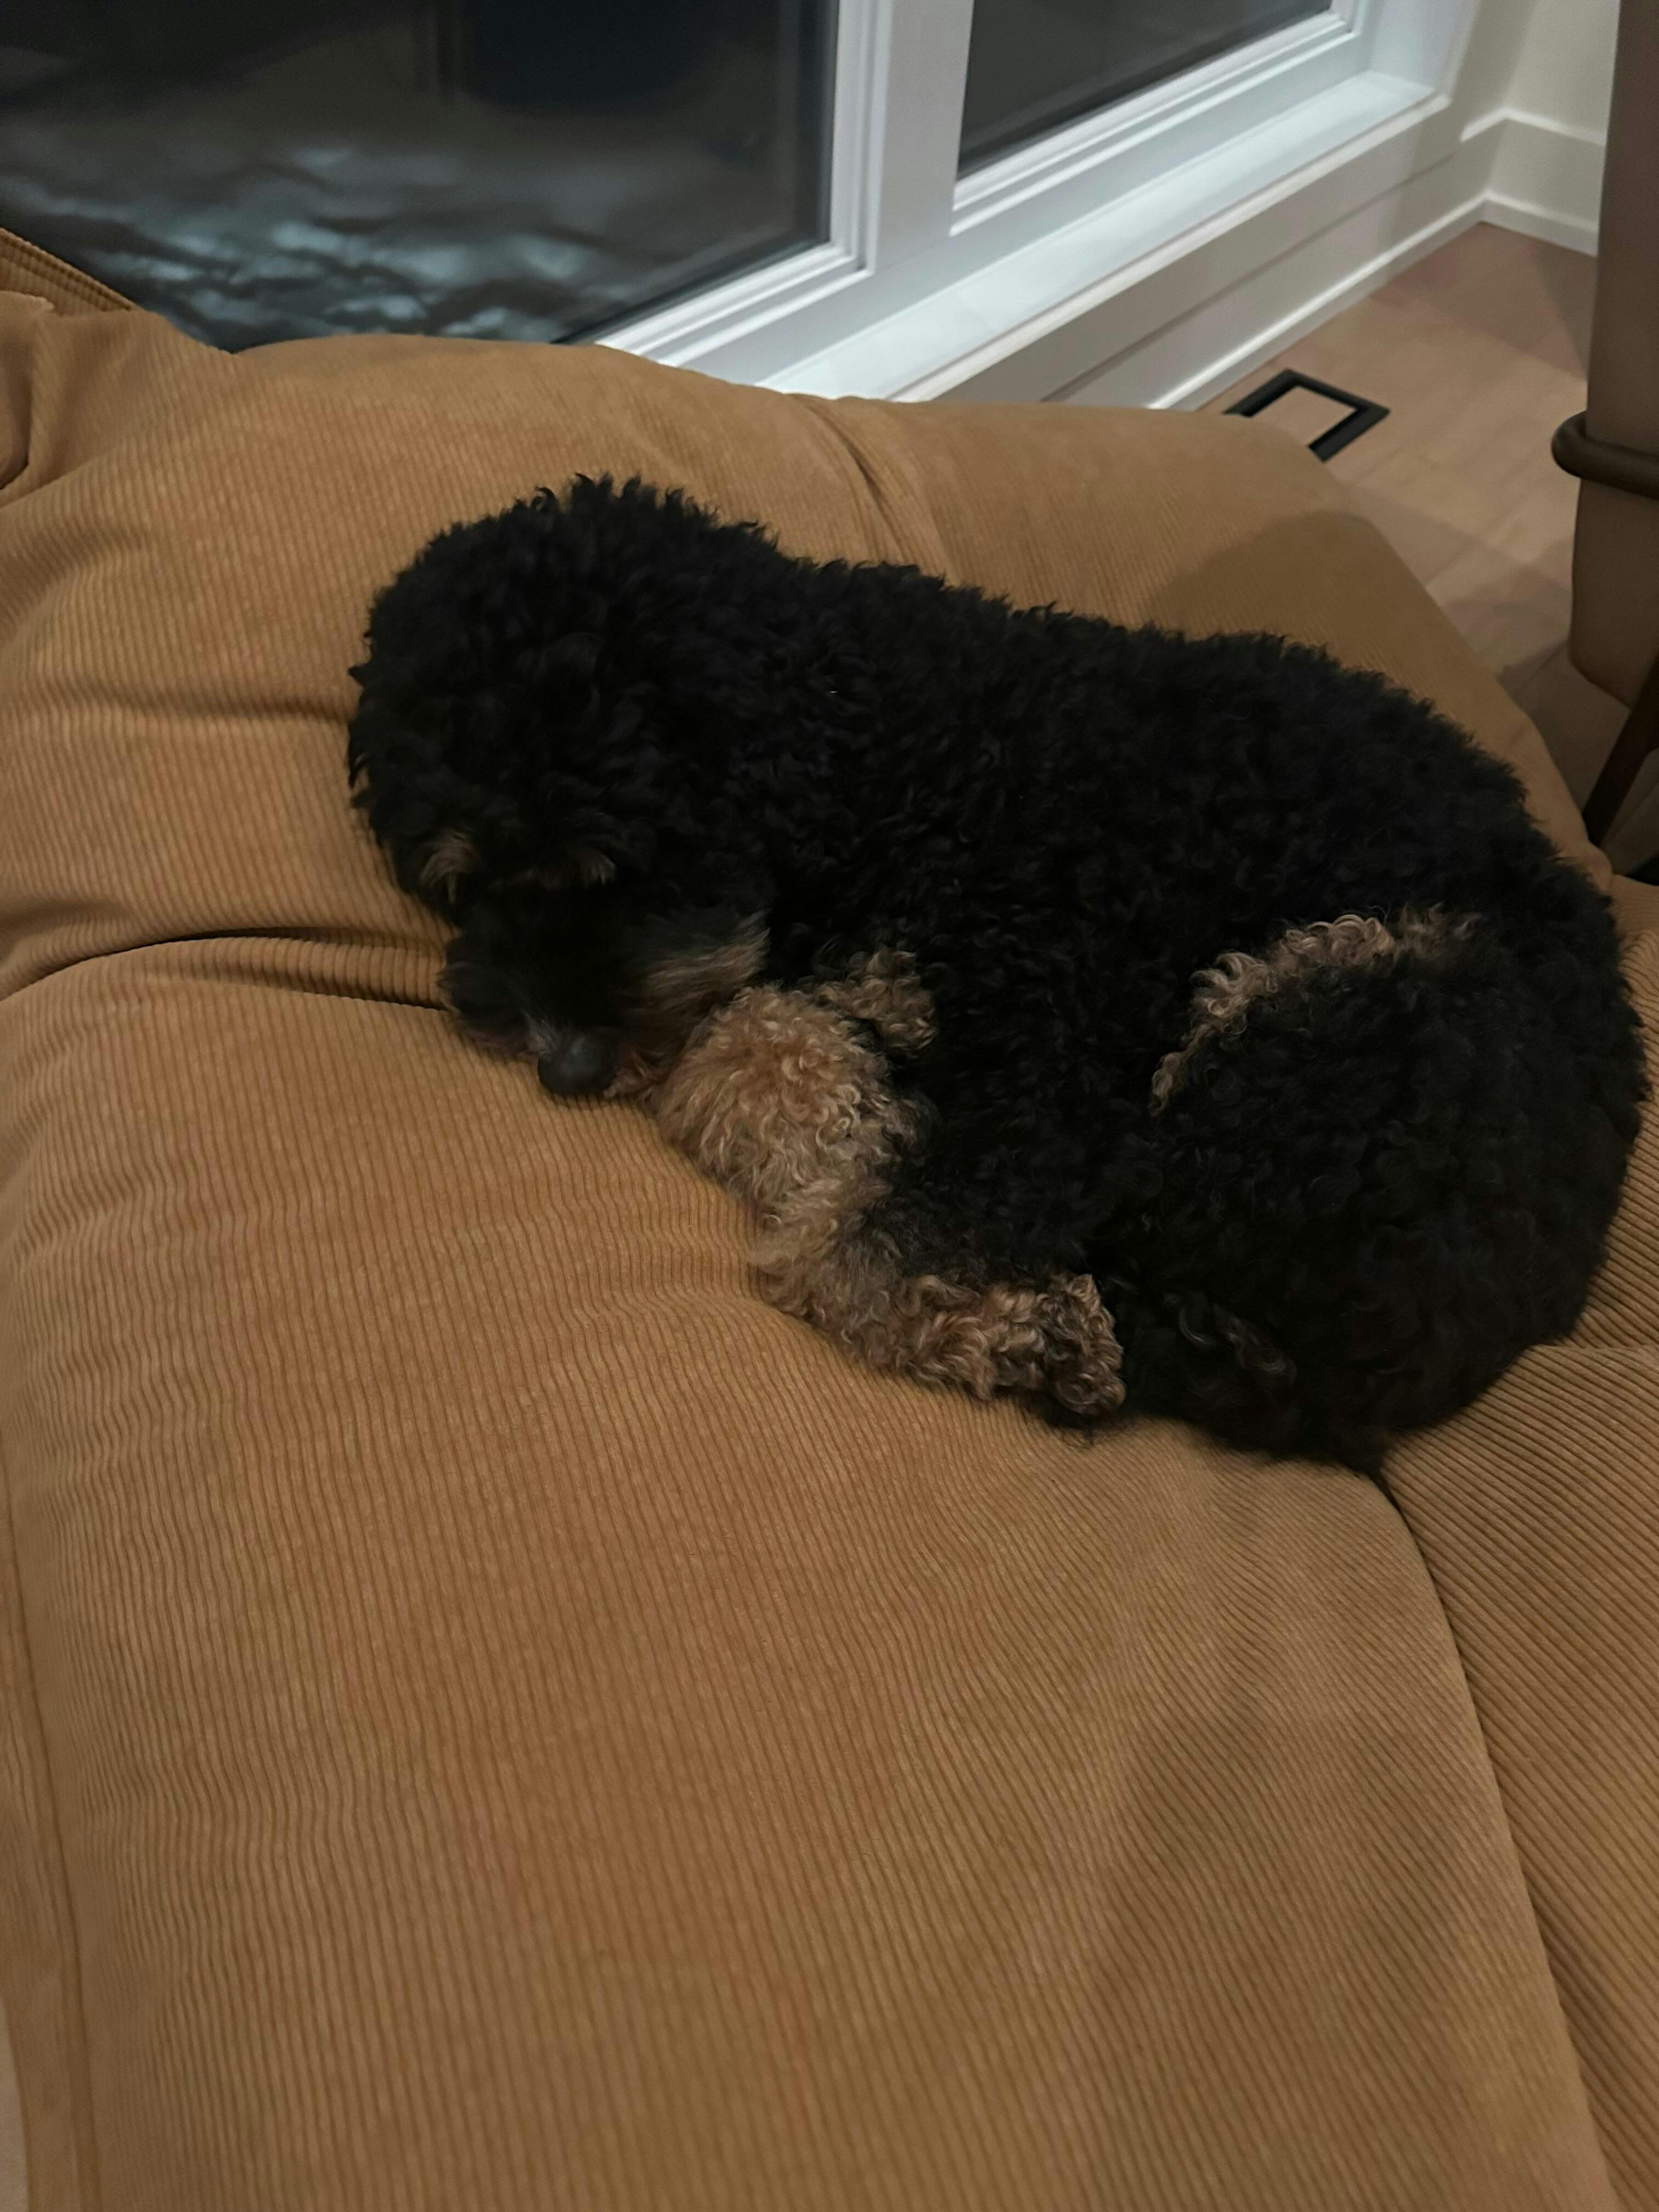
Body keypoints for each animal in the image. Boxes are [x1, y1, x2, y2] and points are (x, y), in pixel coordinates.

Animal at [347, 475, 1645, 1474]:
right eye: (456, 883)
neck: (889, 758)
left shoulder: (1050, 1075)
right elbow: (755, 1051)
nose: (562, 1064)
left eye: (612, 866)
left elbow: (857, 1249)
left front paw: (1027, 1329)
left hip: (1330, 1008)